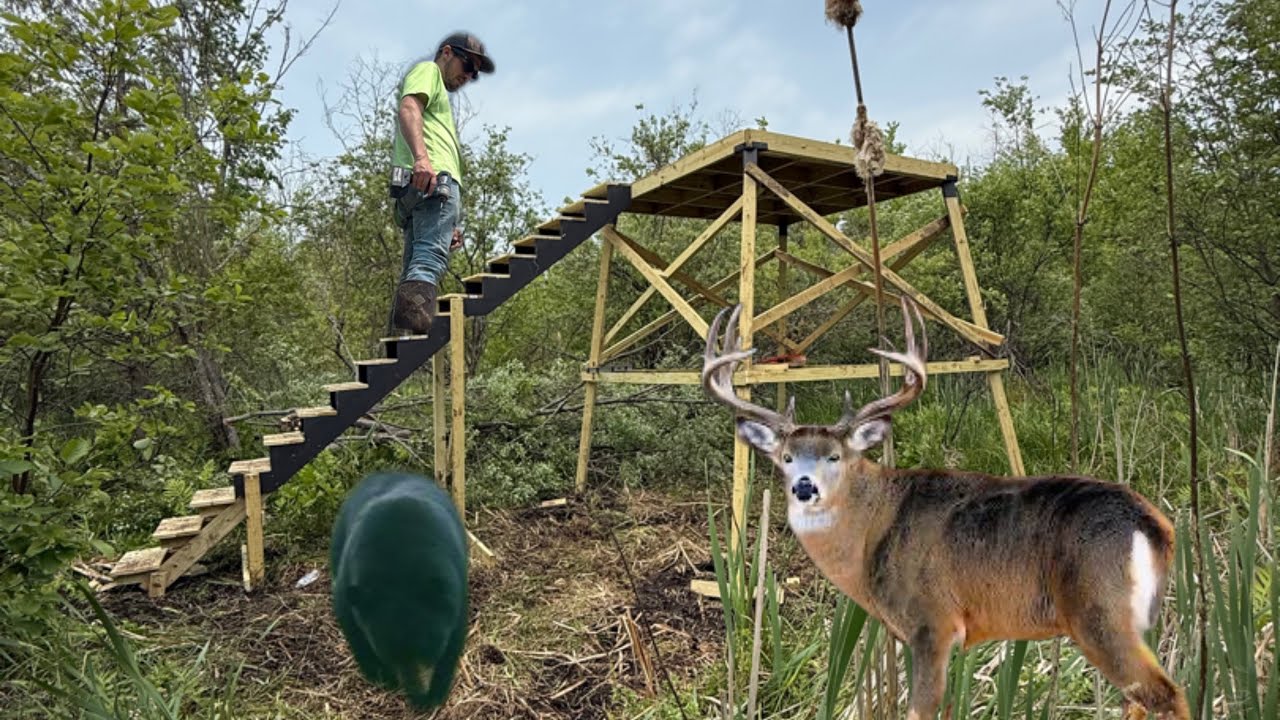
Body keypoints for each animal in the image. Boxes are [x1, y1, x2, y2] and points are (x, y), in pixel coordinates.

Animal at [702, 298, 1189, 720]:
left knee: (1166, 694)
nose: (804, 487)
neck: (870, 533)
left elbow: (921, 710)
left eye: (834, 456)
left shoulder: (931, 620)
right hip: (1139, 620)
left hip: (1099, 611)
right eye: (785, 457)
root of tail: (1153, 525)